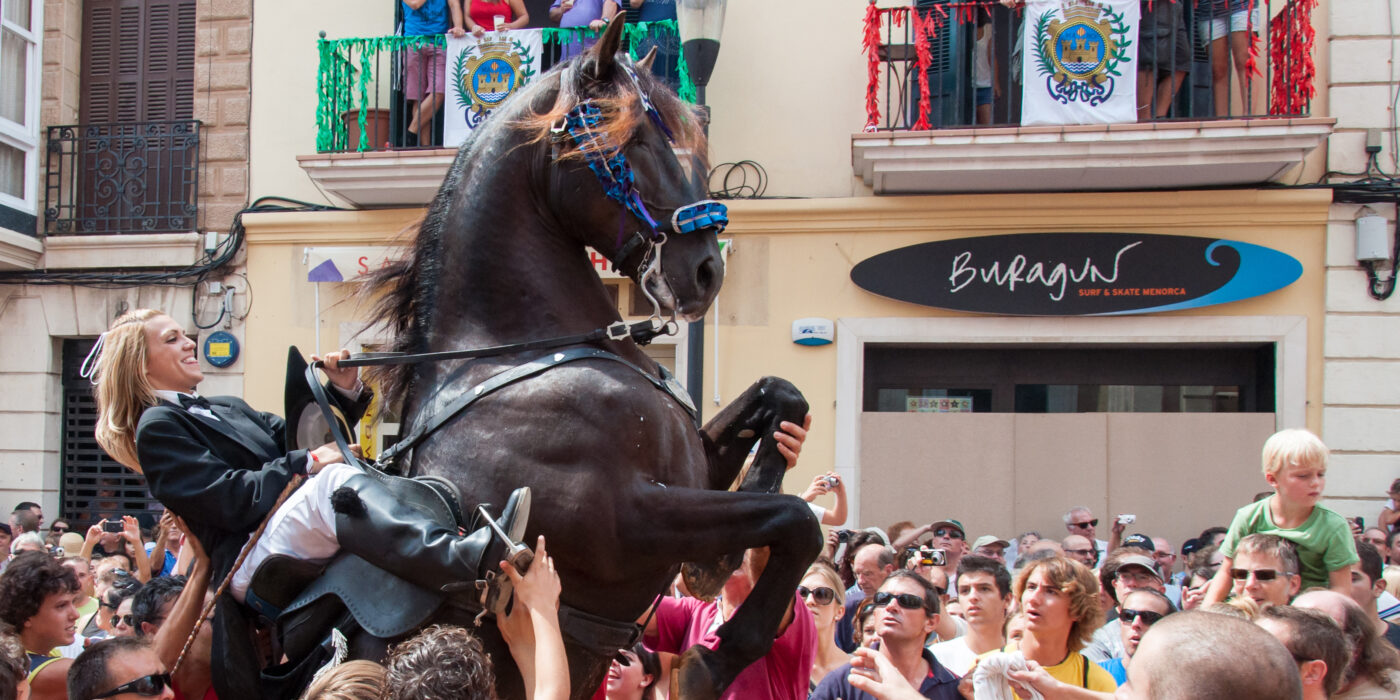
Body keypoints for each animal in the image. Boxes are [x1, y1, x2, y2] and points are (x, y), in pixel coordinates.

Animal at [358, 20, 822, 700]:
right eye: (632, 140)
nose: (706, 271)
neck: (522, 352)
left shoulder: (691, 476)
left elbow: (779, 393)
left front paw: (746, 511)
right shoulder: (631, 519)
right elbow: (797, 520)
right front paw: (713, 660)